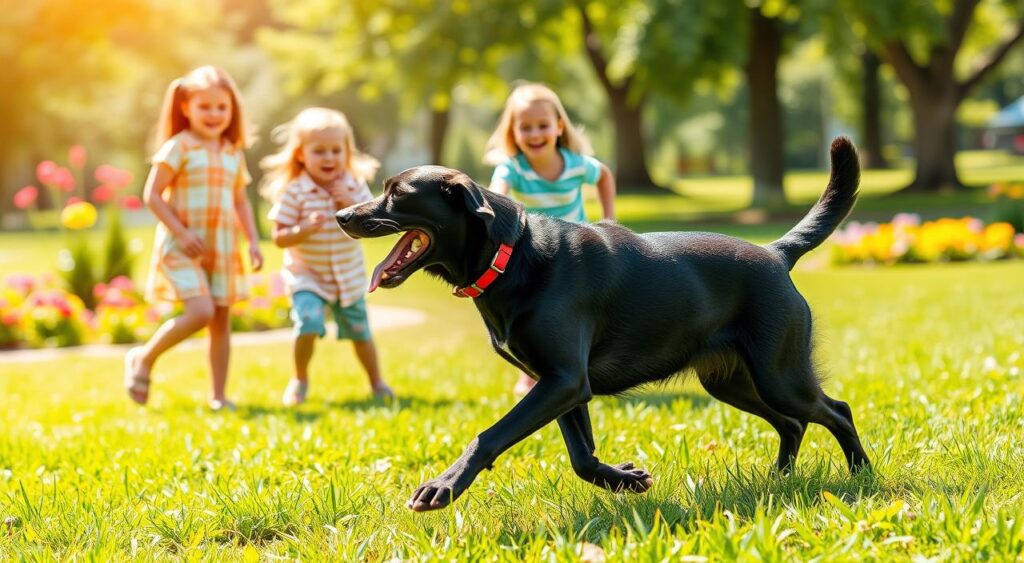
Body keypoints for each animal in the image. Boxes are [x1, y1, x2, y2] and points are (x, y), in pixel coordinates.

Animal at [339, 139, 868, 513]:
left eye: (397, 193)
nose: (342, 214)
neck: (511, 255)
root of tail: (777, 253)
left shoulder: (563, 381)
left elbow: (490, 435)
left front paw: (443, 486)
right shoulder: (561, 384)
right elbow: (581, 458)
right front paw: (625, 480)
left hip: (779, 374)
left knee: (835, 410)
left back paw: (861, 475)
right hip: (732, 381)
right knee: (793, 422)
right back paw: (781, 479)